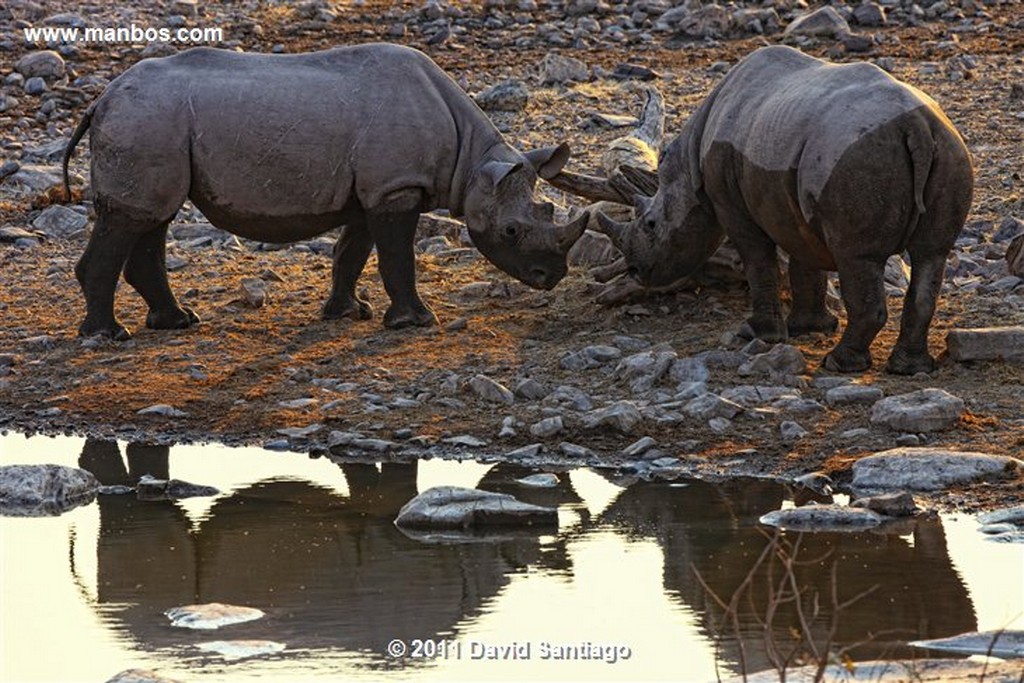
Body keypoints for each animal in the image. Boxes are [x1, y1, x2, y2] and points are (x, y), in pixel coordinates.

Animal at [64, 43, 589, 339]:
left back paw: (177, 322)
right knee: (134, 219)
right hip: (145, 118)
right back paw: (110, 336)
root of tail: (101, 99)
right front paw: (417, 323)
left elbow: (351, 253)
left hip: (153, 123)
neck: (473, 163)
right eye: (512, 231)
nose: (551, 277)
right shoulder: (395, 188)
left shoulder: (372, 192)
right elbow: (396, 257)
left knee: (153, 218)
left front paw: (347, 313)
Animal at [602, 45, 970, 376]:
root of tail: (917, 126)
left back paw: (838, 364)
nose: (635, 271)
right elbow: (804, 261)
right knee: (931, 254)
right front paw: (808, 328)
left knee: (857, 256)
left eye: (651, 224)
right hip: (949, 150)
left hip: (860, 159)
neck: (689, 164)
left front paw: (756, 333)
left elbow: (758, 261)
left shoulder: (731, 203)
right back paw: (910, 369)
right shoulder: (790, 200)